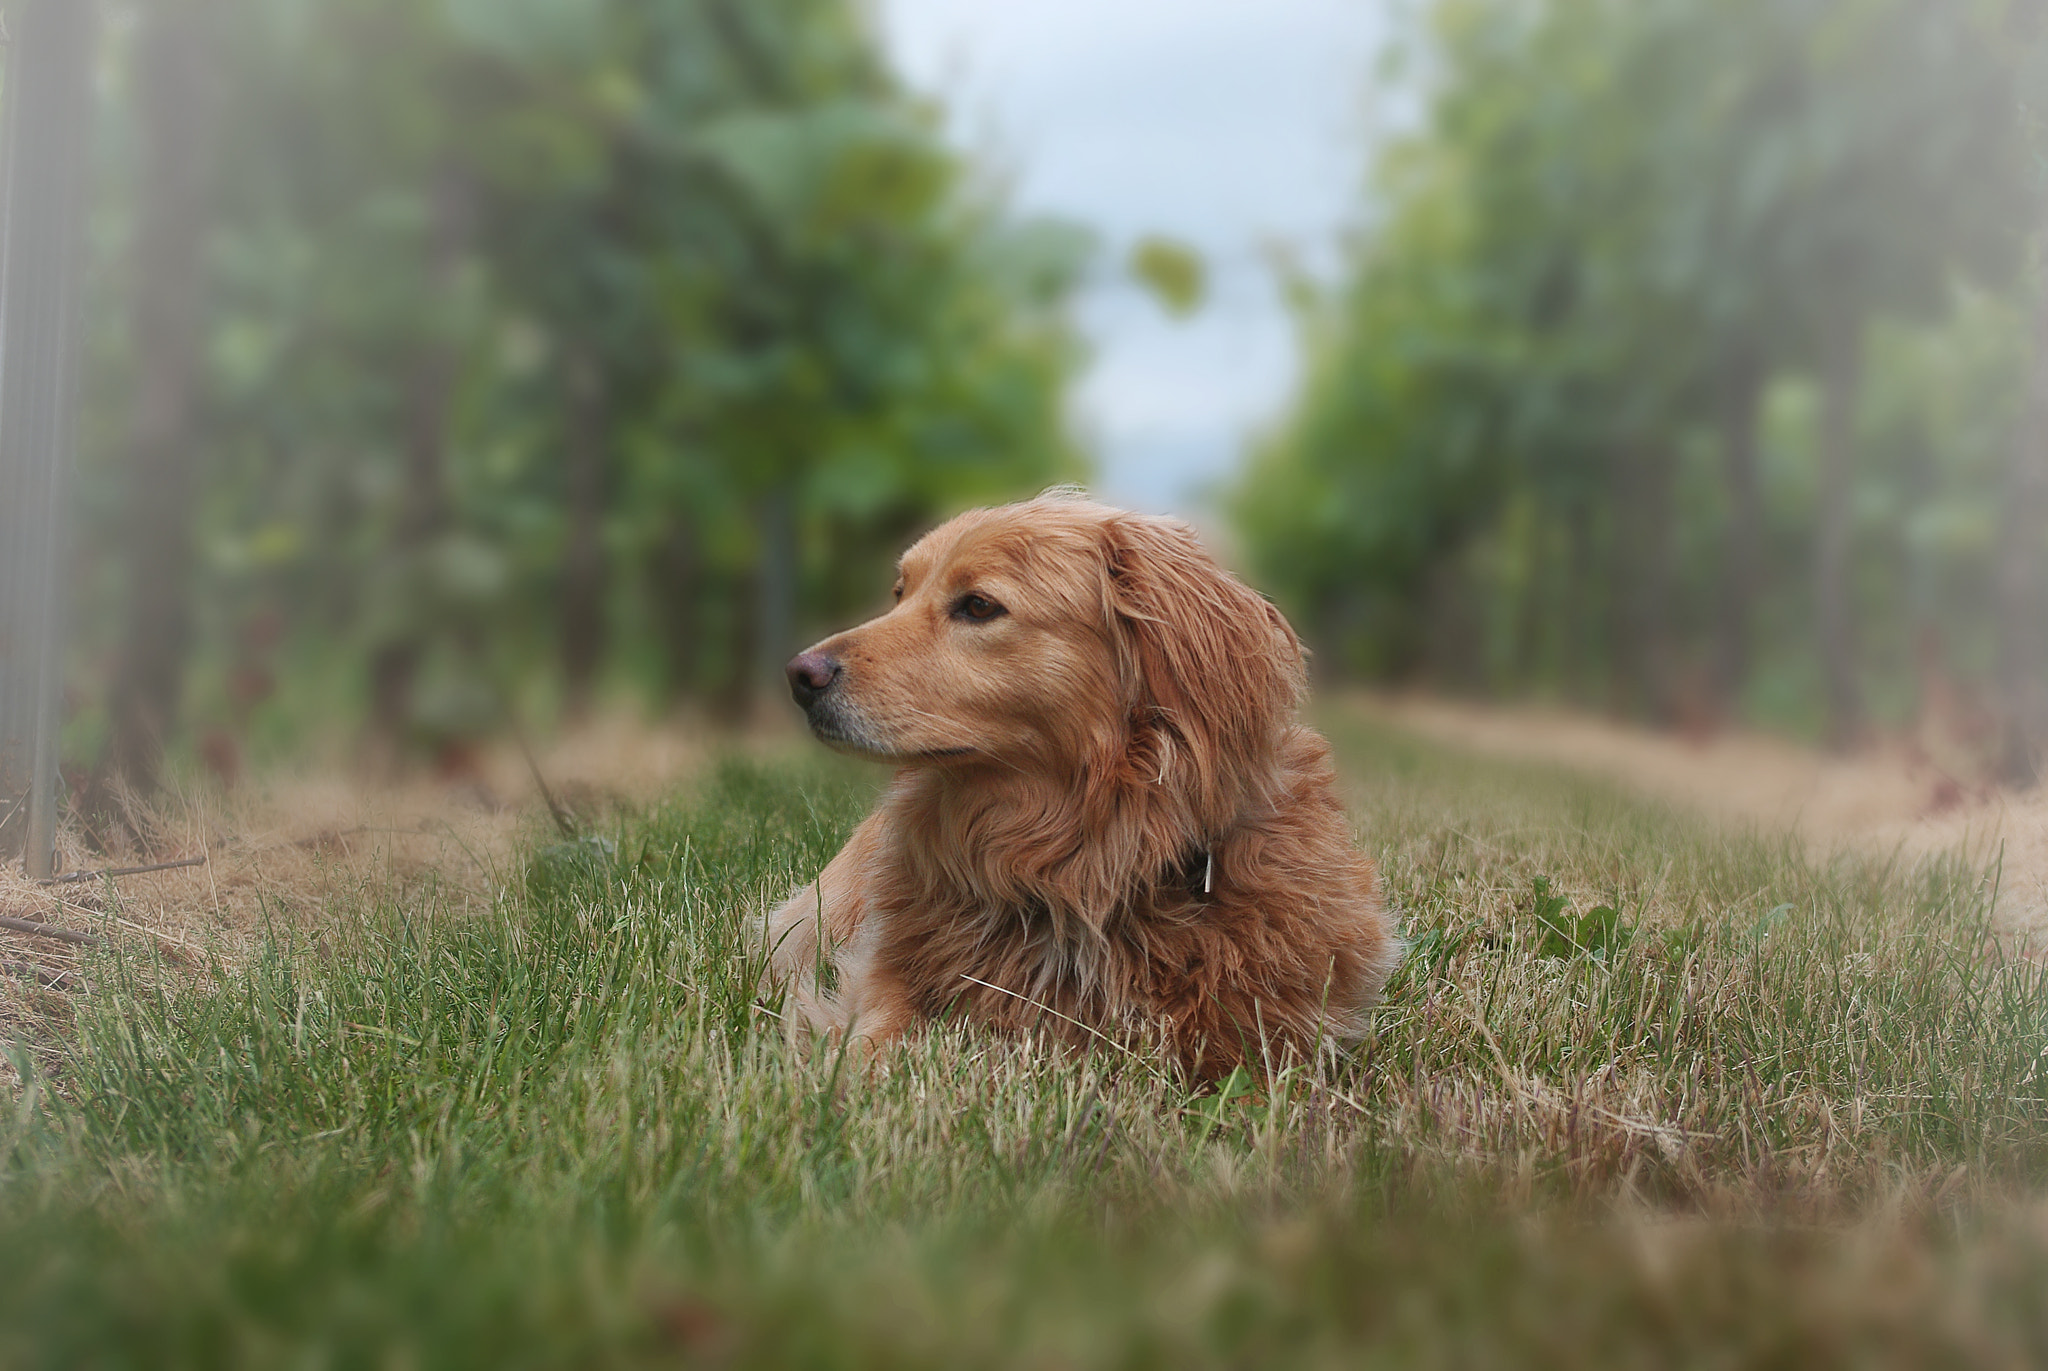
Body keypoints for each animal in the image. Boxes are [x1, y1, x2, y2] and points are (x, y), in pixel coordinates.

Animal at [761, 491, 1400, 1082]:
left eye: (978, 605)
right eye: (900, 594)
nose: (798, 674)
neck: (1081, 860)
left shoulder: (1277, 1032)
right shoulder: (887, 968)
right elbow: (876, 1028)